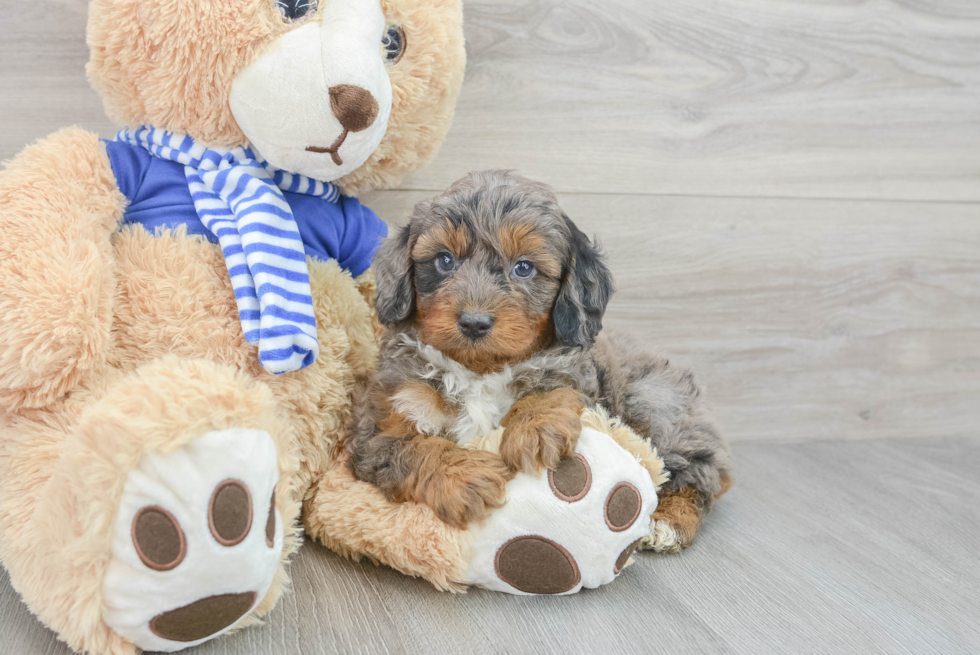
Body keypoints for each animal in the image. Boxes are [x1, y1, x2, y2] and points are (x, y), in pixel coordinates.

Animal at [348, 170, 732, 552]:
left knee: (703, 472)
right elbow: (415, 448)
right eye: (444, 260)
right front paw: (464, 476)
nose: (474, 322)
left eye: (523, 268)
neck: (480, 370)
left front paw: (535, 429)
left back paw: (669, 522)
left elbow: (553, 389)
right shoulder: (380, 429)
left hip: (655, 405)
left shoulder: (575, 373)